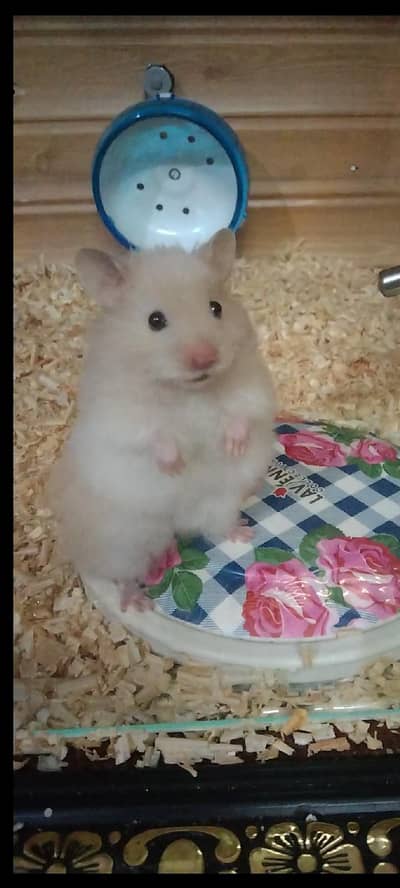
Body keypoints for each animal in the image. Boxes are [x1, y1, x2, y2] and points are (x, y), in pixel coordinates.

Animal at [48, 229, 276, 612]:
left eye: (216, 308)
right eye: (155, 320)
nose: (205, 358)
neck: (189, 390)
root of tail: (177, 523)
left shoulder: (250, 385)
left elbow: (240, 413)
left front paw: (233, 446)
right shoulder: (123, 415)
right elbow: (156, 436)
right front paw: (175, 466)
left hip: (221, 501)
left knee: (215, 528)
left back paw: (244, 532)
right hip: (123, 542)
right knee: (123, 575)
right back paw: (137, 603)